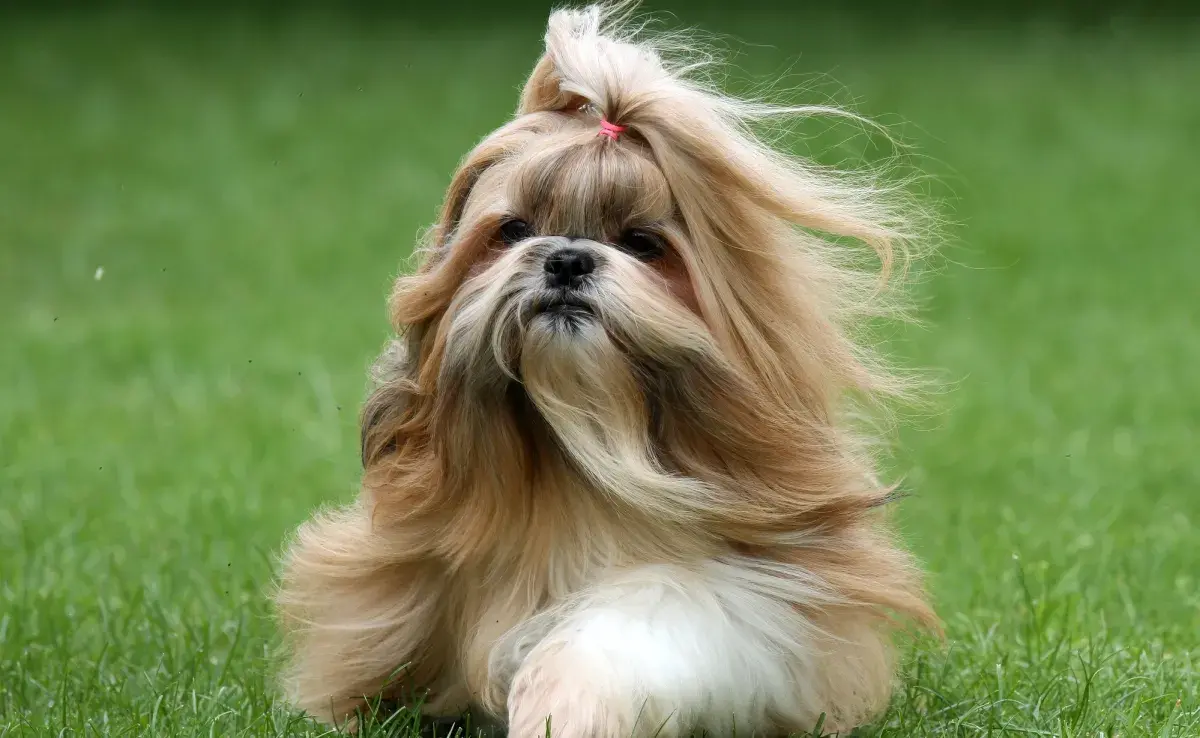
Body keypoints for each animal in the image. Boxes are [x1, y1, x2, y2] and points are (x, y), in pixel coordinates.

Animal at [278, 2, 936, 734]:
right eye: (512, 230)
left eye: (643, 244)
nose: (567, 259)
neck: (576, 455)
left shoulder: (754, 591)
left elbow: (627, 626)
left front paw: (562, 707)